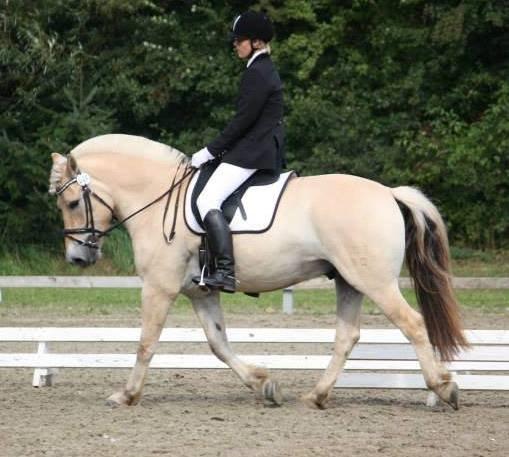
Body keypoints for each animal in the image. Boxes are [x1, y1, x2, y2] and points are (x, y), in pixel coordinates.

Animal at [49, 134, 466, 408]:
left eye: (72, 202)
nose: (77, 258)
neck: (158, 198)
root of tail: (389, 193)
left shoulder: (158, 287)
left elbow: (146, 342)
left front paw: (127, 394)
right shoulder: (199, 291)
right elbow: (218, 344)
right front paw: (264, 385)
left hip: (375, 281)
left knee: (413, 324)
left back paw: (443, 388)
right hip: (349, 281)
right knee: (347, 336)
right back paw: (316, 396)